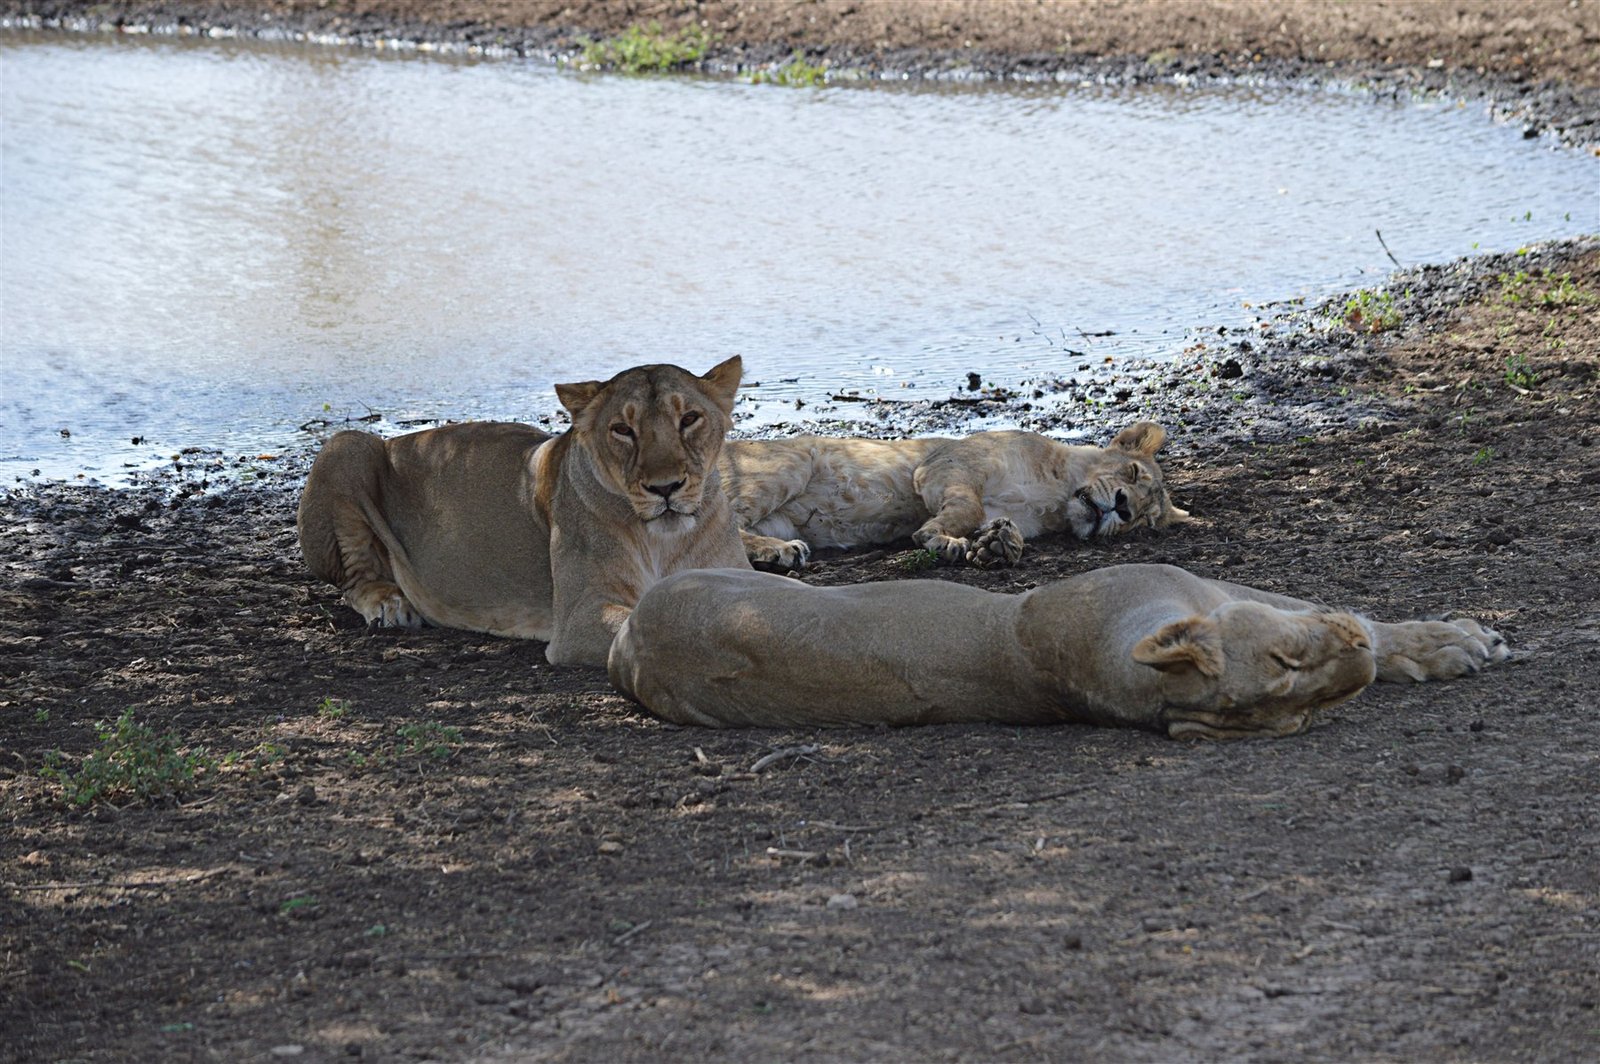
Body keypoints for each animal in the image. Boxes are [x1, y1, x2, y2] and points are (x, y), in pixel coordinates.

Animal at [296, 357, 751, 666]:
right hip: (348, 444)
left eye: (689, 418)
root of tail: (398, 441)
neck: (665, 542)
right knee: (353, 578)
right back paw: (389, 603)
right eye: (623, 429)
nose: (665, 487)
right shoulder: (580, 617)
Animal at [717, 422, 1187, 571]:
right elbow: (966, 507)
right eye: (1132, 473)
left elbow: (995, 525)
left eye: (1144, 519)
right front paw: (939, 539)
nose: (1123, 507)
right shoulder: (948, 464)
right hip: (788, 463)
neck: (1055, 498)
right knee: (726, 523)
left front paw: (1000, 546)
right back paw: (783, 552)